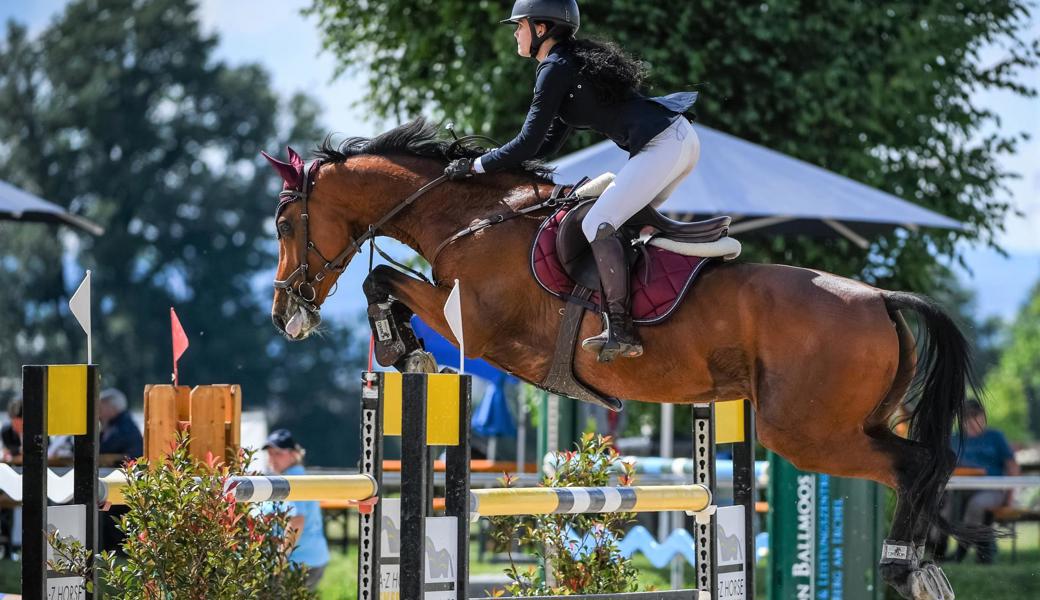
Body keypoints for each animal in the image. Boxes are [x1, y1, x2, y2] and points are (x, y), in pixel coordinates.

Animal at [266, 118, 981, 598]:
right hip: (849, 423)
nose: (285, 314)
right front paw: (402, 345)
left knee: (919, 462)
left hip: (807, 433)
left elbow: (382, 280)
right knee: (926, 462)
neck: (474, 218)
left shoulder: (476, 327)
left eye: (283, 225)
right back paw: (923, 567)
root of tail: (879, 297)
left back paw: (902, 565)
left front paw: (398, 344)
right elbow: (384, 280)